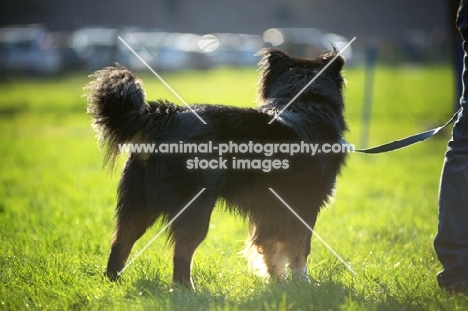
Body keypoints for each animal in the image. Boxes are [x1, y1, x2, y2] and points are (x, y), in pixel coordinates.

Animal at [87, 48, 348, 290]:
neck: (304, 103)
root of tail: (164, 116)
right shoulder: (305, 204)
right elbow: (300, 248)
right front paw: (303, 285)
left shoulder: (269, 209)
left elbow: (271, 247)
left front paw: (278, 283)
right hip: (195, 205)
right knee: (182, 252)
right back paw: (188, 291)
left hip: (138, 202)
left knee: (120, 242)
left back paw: (113, 282)